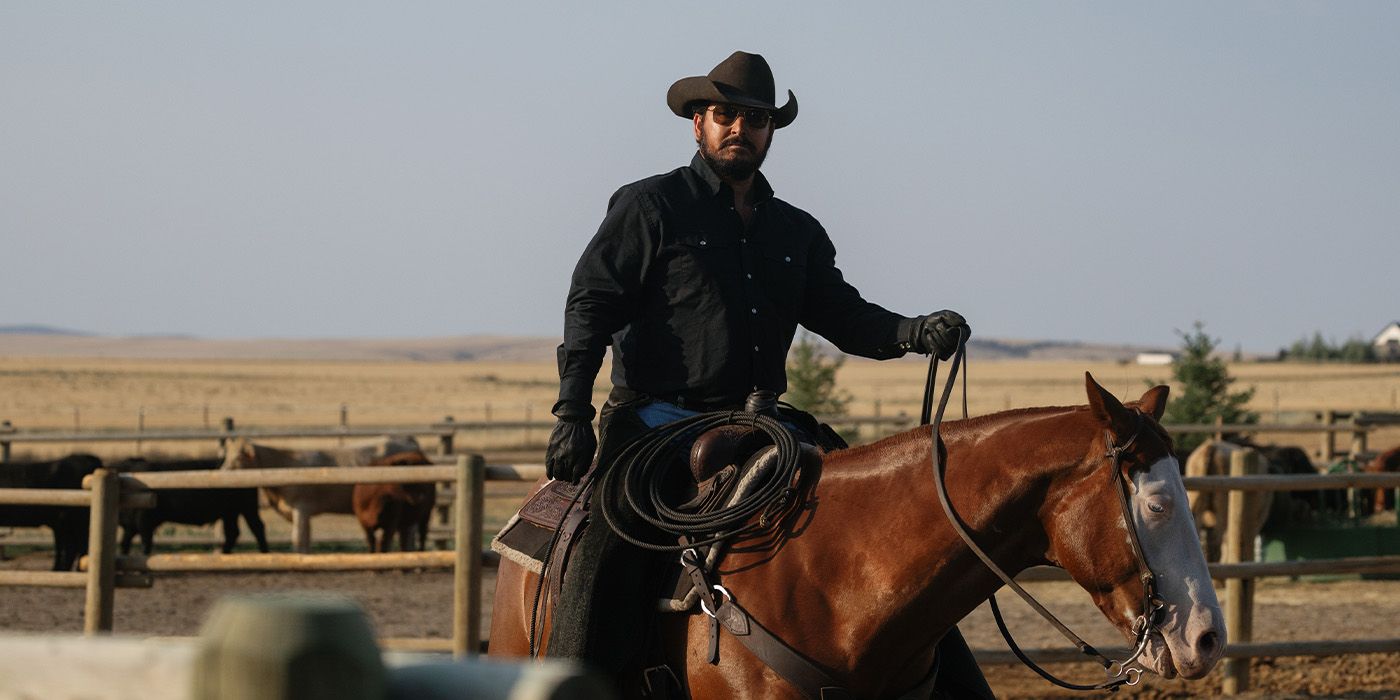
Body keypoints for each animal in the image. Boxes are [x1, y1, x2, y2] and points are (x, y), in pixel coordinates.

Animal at [113, 456, 268, 554]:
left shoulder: (145, 523)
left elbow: (145, 546)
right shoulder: (130, 527)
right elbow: (124, 546)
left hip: (247, 508)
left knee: (257, 528)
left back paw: (264, 553)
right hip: (230, 512)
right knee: (233, 533)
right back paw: (224, 555)